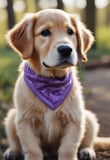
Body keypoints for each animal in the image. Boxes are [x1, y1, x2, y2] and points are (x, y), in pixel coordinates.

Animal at [3, 8, 109, 160]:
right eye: (45, 32)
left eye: (70, 31)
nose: (66, 49)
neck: (50, 84)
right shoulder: (25, 120)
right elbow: (32, 149)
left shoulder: (74, 119)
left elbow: (68, 148)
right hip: (12, 117)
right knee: (14, 142)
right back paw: (12, 151)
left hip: (89, 117)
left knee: (89, 141)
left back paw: (86, 151)